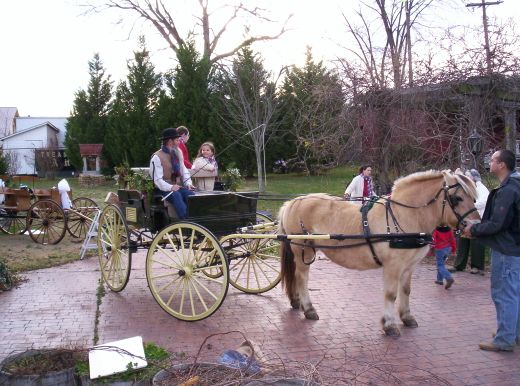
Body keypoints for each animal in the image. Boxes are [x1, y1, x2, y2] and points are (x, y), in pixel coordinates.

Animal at [280, 170, 480, 336]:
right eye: (457, 198)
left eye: (474, 198)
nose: (474, 226)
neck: (404, 215)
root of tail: (293, 202)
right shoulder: (393, 266)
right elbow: (391, 294)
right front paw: (389, 325)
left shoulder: (409, 266)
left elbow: (406, 290)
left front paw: (407, 317)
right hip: (303, 251)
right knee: (302, 278)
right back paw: (309, 309)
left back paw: (296, 302)